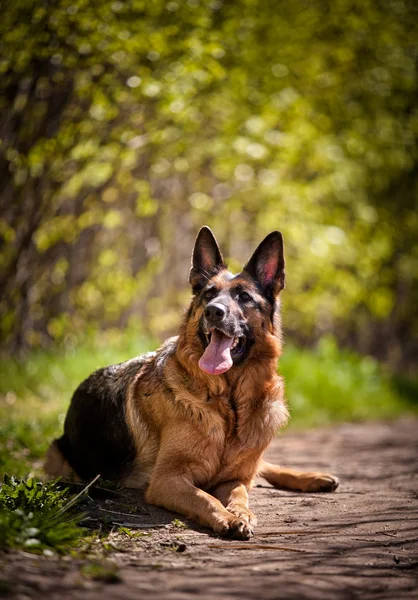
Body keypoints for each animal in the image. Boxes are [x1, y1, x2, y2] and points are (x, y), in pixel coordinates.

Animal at [45, 226, 338, 540]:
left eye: (244, 297)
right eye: (209, 294)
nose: (213, 311)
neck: (227, 402)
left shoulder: (233, 478)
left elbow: (240, 494)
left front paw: (241, 512)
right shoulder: (167, 480)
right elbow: (204, 497)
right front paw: (228, 517)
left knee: (262, 467)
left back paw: (314, 477)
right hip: (58, 458)